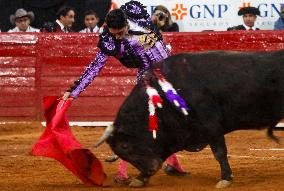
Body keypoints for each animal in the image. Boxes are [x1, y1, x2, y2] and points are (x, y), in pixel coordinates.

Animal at [102, 50, 284, 187]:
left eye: (125, 146)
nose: (150, 169)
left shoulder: (211, 126)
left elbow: (220, 152)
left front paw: (225, 178)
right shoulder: (177, 133)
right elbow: (164, 152)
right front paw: (140, 178)